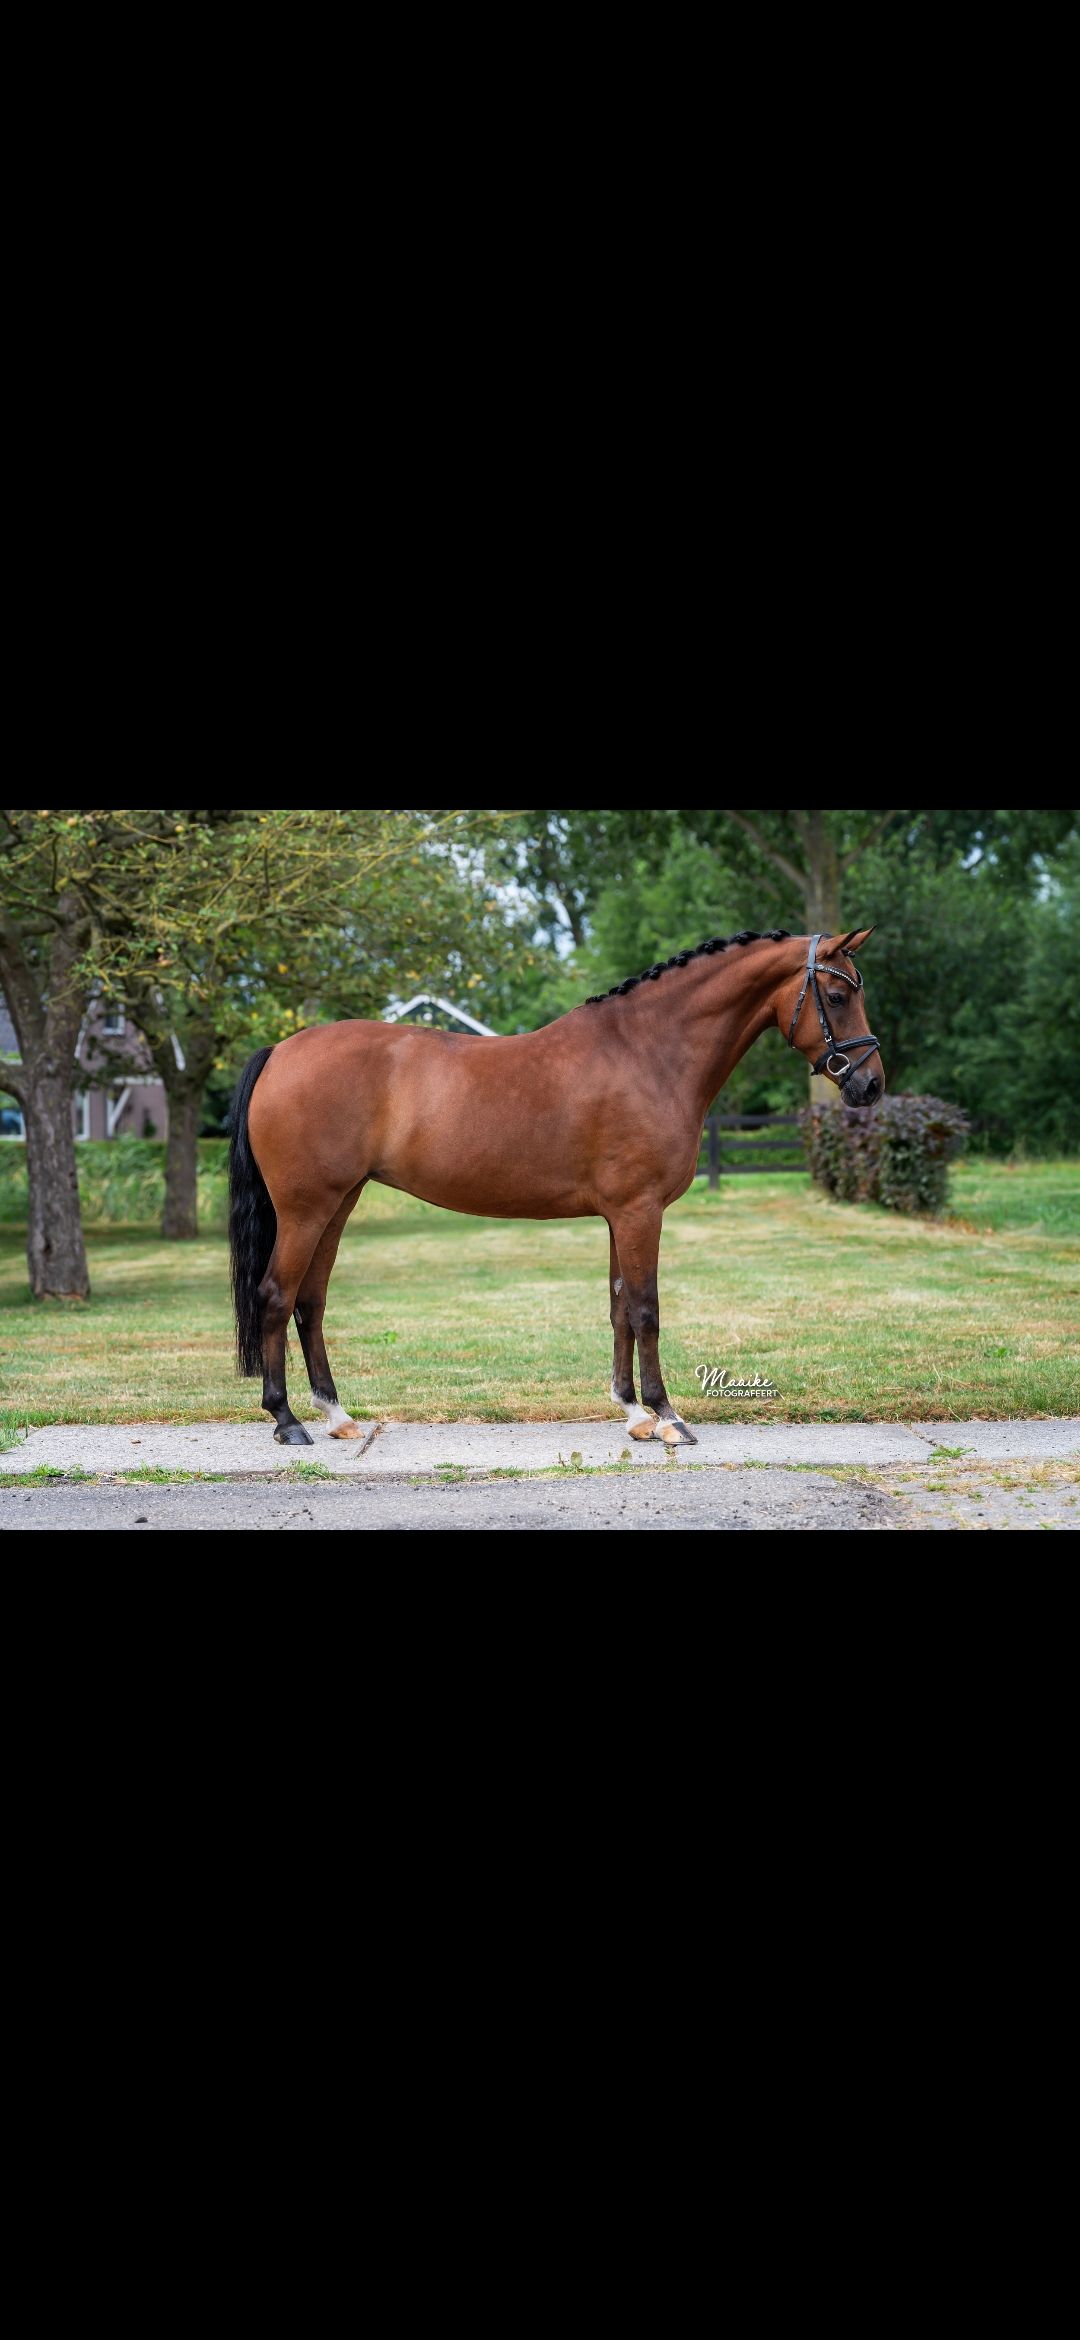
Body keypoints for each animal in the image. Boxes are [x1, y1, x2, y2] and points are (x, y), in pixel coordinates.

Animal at [228, 927, 882, 1448]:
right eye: (838, 995)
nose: (870, 1085)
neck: (649, 1052)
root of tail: (281, 1051)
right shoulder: (641, 1211)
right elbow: (646, 1308)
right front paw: (668, 1417)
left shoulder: (621, 1215)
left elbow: (619, 1306)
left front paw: (633, 1413)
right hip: (306, 1208)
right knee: (276, 1296)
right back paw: (287, 1421)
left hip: (339, 1203)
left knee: (310, 1302)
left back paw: (337, 1416)